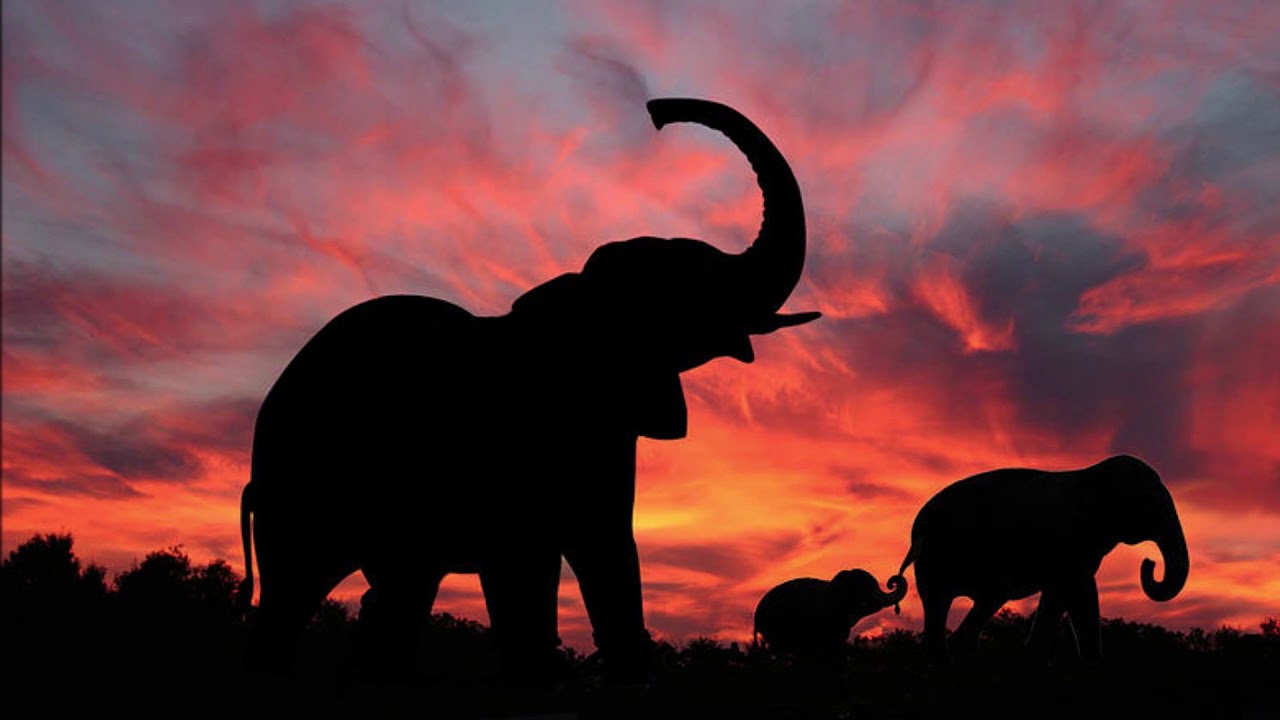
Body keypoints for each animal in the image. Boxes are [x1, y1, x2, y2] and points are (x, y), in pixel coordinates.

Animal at [237, 98, 820, 681]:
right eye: (686, 283)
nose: (657, 112)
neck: (578, 298)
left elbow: (606, 553)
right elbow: (526, 580)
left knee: (398, 593)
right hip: (300, 476)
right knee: (294, 596)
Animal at [895, 454, 1189, 663]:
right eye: (1149, 502)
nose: (1149, 563)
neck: (1090, 475)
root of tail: (917, 528)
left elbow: (1067, 595)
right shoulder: (1067, 540)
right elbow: (1077, 591)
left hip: (933, 564)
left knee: (938, 607)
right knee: (984, 600)